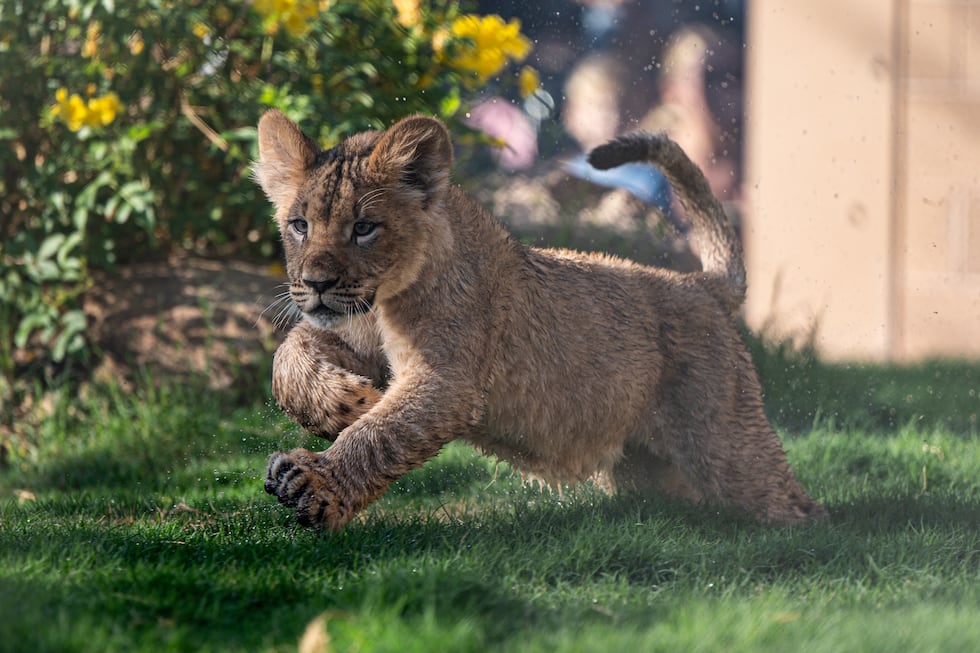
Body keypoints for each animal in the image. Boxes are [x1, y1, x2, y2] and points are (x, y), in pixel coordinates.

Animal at [253, 110, 827, 530]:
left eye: (364, 228)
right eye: (300, 225)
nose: (317, 283)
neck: (384, 300)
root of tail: (700, 285)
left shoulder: (448, 379)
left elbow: (380, 435)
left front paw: (314, 483)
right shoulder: (353, 338)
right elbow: (288, 358)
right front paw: (346, 404)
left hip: (727, 443)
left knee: (792, 502)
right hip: (649, 467)